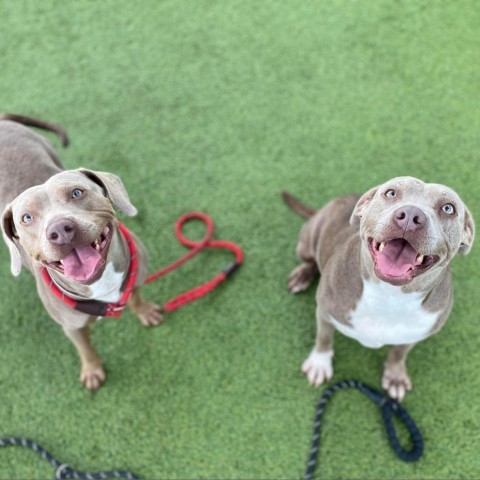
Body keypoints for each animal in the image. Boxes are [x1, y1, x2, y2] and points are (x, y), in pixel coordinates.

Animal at [0, 115, 163, 390]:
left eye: (77, 192)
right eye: (26, 218)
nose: (59, 229)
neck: (101, 283)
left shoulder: (137, 275)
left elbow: (136, 295)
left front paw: (144, 311)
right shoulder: (72, 326)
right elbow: (84, 348)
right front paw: (92, 369)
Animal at [284, 178, 474, 400]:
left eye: (448, 208)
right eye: (391, 193)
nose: (411, 215)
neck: (389, 295)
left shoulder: (416, 333)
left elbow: (399, 353)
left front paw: (395, 376)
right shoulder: (324, 312)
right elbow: (324, 338)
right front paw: (319, 363)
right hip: (308, 239)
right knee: (310, 259)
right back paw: (301, 275)